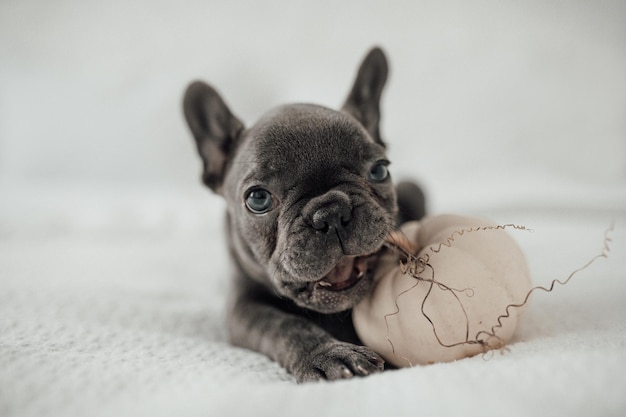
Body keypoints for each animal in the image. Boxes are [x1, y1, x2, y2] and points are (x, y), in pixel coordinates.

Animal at [182, 47, 424, 382]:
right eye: (258, 199)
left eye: (379, 170)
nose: (331, 213)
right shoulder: (242, 309)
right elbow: (282, 326)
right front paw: (328, 354)